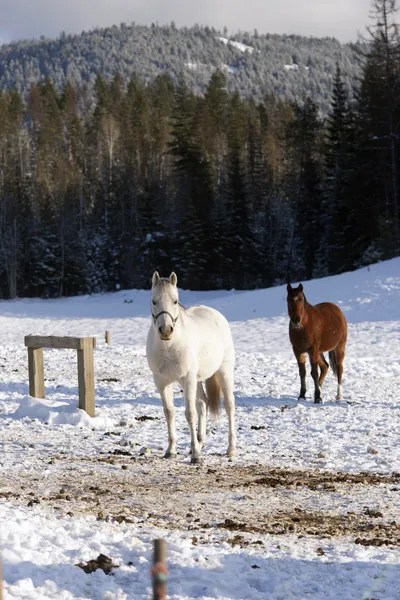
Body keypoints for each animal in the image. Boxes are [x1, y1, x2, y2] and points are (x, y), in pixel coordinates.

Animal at [145, 272, 236, 464]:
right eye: (154, 301)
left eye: (175, 301)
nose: (166, 330)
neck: (169, 346)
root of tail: (216, 315)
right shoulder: (162, 382)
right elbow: (169, 412)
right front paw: (171, 450)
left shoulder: (187, 379)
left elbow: (190, 413)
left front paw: (196, 455)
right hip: (196, 380)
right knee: (203, 402)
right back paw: (201, 442)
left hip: (223, 372)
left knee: (229, 405)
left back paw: (231, 449)